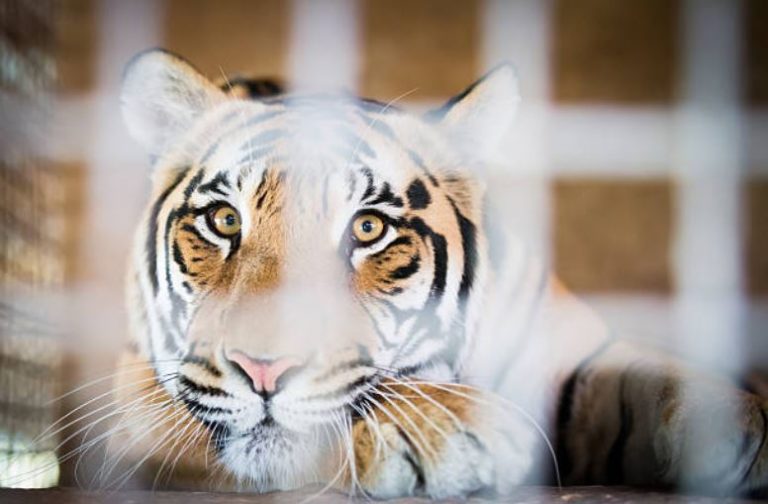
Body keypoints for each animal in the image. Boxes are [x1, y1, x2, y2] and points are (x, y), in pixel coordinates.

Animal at [106, 48, 768, 498]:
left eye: (367, 229)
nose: (262, 369)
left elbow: (657, 377)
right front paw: (442, 430)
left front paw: (742, 432)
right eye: (224, 219)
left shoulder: (578, 354)